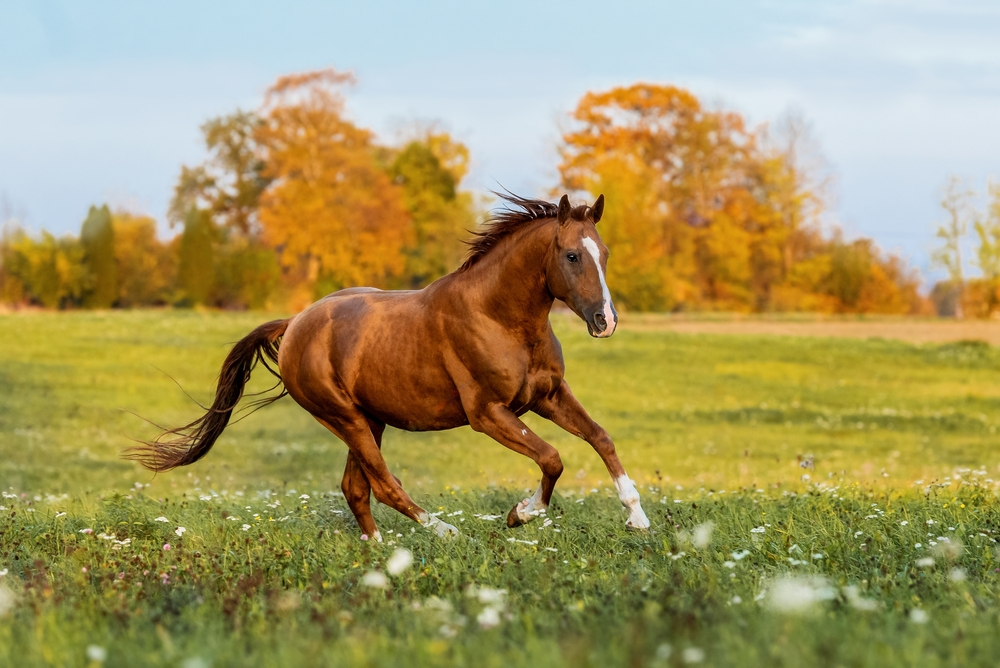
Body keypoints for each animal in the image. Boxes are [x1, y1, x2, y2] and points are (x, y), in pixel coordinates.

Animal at [127, 192, 650, 540]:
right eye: (572, 255)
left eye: (604, 253)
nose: (605, 321)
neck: (498, 317)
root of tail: (295, 323)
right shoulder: (488, 414)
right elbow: (552, 457)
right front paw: (521, 513)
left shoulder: (548, 396)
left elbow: (600, 437)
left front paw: (636, 517)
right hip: (346, 419)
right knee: (382, 485)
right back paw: (445, 534)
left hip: (369, 419)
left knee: (355, 488)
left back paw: (378, 552)